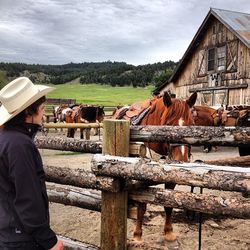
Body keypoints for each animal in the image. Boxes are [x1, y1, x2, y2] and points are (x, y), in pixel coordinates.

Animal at [113, 92, 197, 242]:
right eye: (168, 125)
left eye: (192, 125)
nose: (181, 160)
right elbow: (142, 205)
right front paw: (137, 234)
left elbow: (169, 204)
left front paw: (168, 232)